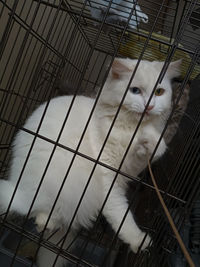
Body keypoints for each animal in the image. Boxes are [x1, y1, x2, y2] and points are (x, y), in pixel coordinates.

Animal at [0, 57, 181, 266]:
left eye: (159, 92)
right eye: (135, 90)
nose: (149, 106)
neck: (130, 129)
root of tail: (20, 188)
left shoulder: (130, 169)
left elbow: (151, 149)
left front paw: (150, 142)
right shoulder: (108, 176)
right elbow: (120, 213)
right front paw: (138, 240)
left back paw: (45, 223)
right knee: (48, 208)